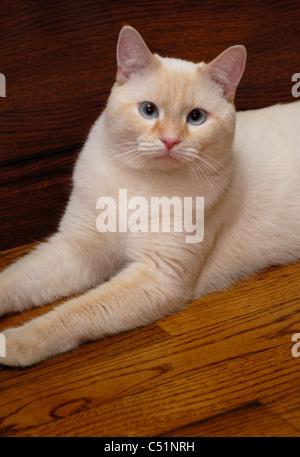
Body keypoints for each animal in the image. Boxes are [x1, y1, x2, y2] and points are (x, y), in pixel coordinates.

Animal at [0, 25, 300, 366]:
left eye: (196, 117)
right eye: (148, 110)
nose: (170, 141)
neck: (139, 183)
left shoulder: (158, 275)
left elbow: (75, 311)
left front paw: (15, 342)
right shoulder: (77, 249)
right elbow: (14, 279)